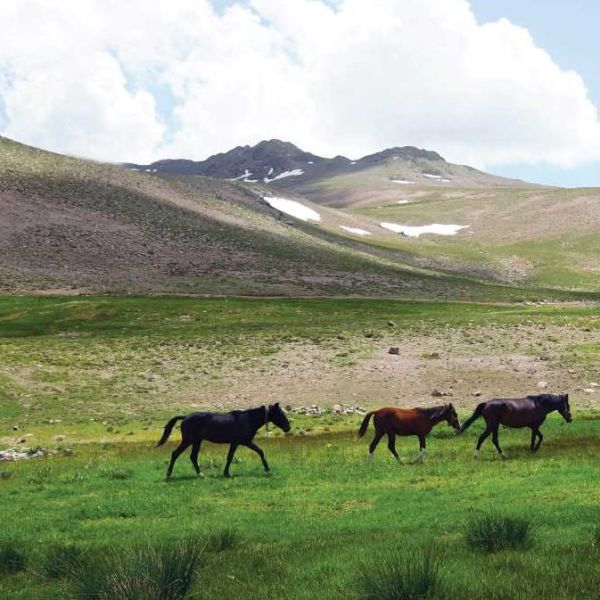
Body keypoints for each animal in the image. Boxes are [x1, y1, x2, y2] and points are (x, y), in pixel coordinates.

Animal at [157, 404, 290, 478]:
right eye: (280, 414)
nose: (288, 427)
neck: (248, 419)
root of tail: (185, 417)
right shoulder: (243, 442)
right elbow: (259, 452)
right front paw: (267, 470)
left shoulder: (237, 443)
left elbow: (230, 457)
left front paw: (226, 473)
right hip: (188, 441)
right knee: (175, 454)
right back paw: (168, 475)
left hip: (196, 441)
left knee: (193, 457)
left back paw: (201, 474)